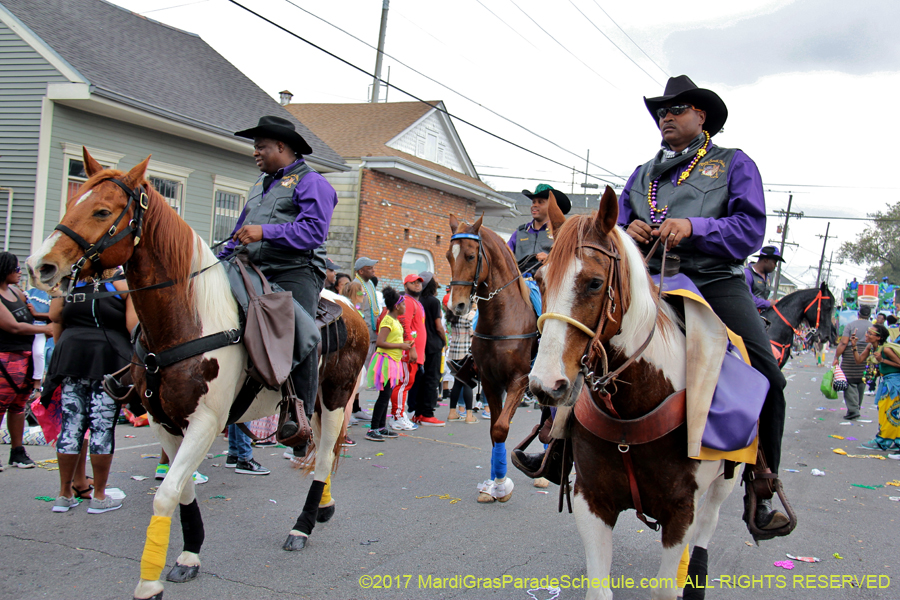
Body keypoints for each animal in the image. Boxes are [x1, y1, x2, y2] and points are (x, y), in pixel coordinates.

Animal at [29, 149, 366, 600]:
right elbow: (181, 488)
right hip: (314, 402)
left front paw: (149, 581)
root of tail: (349, 306)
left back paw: (303, 526)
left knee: (326, 455)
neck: (189, 317)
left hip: (334, 399)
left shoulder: (205, 421)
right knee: (322, 458)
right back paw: (324, 507)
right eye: (72, 201)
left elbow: (166, 493)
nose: (41, 266)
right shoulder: (164, 422)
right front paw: (189, 554)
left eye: (102, 211)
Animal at [446, 213, 536, 504]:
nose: (457, 307)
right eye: (449, 256)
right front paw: (495, 484)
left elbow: (500, 428)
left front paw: (501, 485)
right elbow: (494, 431)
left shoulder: (519, 380)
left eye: (470, 256)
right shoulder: (490, 381)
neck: (503, 318)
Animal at [528, 188, 740, 600]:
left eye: (594, 283)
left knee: (709, 523)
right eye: (540, 279)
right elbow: (599, 589)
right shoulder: (592, 502)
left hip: (727, 479)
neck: (629, 412)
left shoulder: (681, 511)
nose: (546, 385)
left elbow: (665, 589)